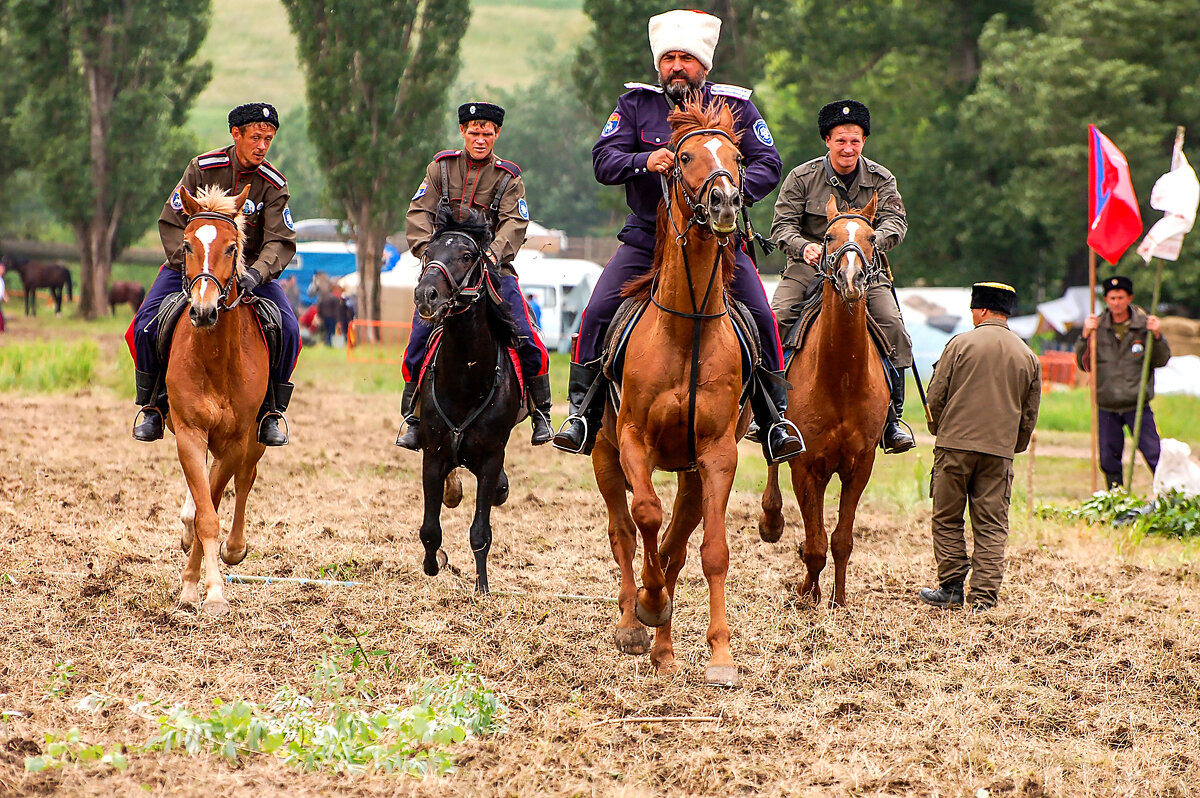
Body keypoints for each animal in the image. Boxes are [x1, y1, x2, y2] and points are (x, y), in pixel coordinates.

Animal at [412, 204, 520, 590]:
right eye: (428, 252)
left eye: (467, 256)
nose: (426, 294)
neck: (465, 379)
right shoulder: (433, 455)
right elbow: (430, 529)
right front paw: (432, 565)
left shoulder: (489, 460)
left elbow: (480, 532)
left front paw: (482, 585)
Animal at [592, 97, 748, 686]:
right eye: (682, 156)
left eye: (737, 156)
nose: (725, 200)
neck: (688, 328)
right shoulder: (633, 441)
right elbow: (644, 517)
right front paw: (650, 606)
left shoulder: (717, 454)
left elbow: (711, 551)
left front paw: (721, 656)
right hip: (603, 454)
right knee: (624, 531)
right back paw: (635, 625)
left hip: (690, 474)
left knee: (676, 548)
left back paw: (663, 649)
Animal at [758, 195, 892, 607]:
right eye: (829, 237)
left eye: (871, 237)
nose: (851, 280)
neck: (841, 377)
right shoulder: (807, 467)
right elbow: (815, 543)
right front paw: (806, 595)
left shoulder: (859, 466)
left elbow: (841, 540)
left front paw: (839, 600)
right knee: (772, 456)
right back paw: (771, 521)